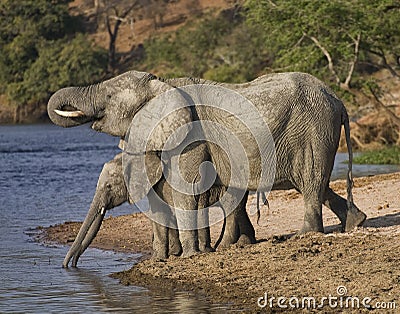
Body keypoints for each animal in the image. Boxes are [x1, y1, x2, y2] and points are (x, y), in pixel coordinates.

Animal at [47, 70, 366, 260]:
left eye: (110, 97)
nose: (69, 266)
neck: (165, 84)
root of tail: (339, 101)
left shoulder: (191, 137)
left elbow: (184, 191)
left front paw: (188, 258)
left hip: (313, 130)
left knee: (311, 181)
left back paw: (305, 235)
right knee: (315, 184)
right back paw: (355, 222)